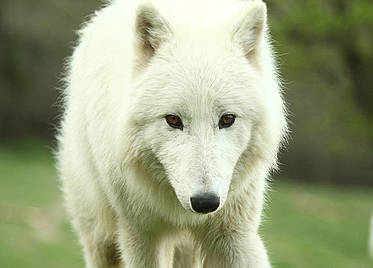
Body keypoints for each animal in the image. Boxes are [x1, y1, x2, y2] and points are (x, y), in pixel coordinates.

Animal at [56, 0, 286, 266]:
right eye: (173, 120)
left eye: (227, 119)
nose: (205, 202)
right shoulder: (140, 235)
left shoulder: (235, 233)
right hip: (101, 236)